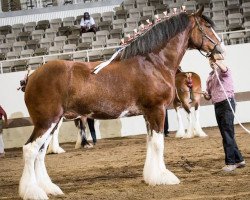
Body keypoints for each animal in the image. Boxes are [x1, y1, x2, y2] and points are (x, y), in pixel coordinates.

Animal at [19, 6, 225, 200]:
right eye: (206, 26)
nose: (221, 51)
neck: (153, 62)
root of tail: (32, 77)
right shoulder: (157, 110)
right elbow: (158, 144)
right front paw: (164, 177)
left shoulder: (148, 113)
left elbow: (150, 142)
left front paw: (151, 176)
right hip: (47, 121)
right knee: (30, 150)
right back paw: (33, 191)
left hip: (52, 123)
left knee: (40, 152)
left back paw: (49, 188)